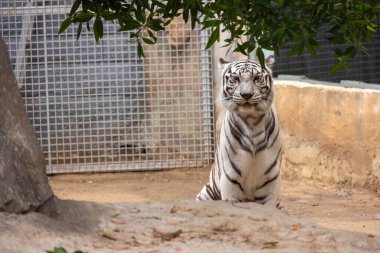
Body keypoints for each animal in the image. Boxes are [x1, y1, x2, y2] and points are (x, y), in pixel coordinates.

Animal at [196, 55, 282, 208]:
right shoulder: (231, 179)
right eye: (235, 78)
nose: (246, 94)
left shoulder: (270, 181)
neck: (252, 122)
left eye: (256, 78)